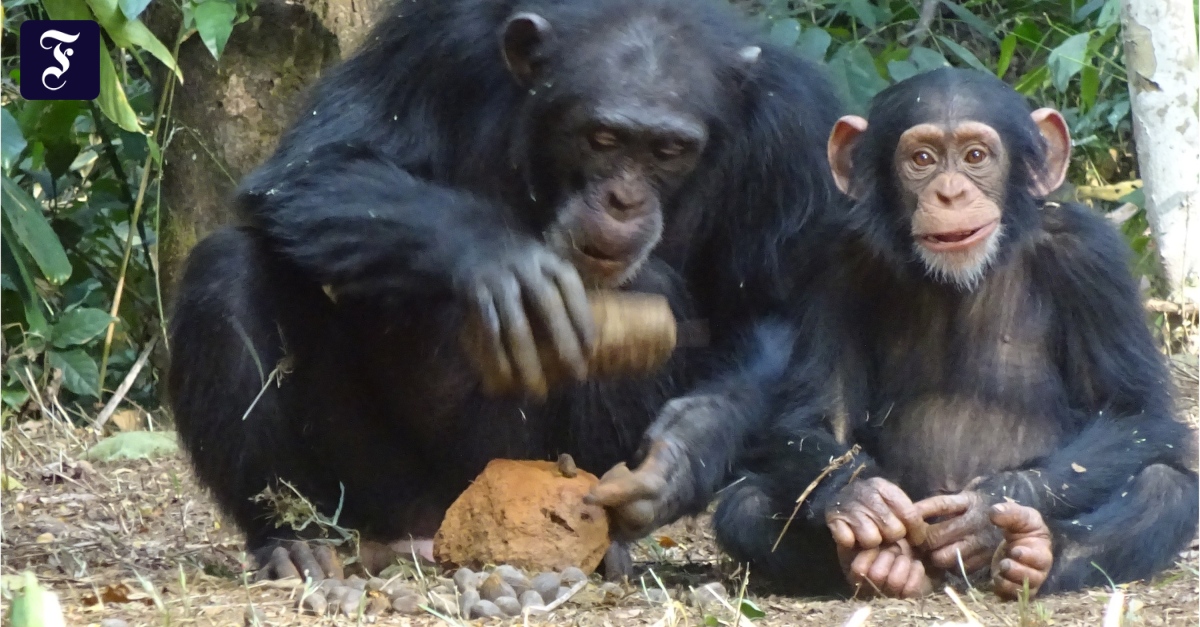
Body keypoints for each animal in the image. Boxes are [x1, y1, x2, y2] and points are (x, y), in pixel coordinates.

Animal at [169, 0, 844, 578]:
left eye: (669, 150)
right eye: (602, 138)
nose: (623, 201)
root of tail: (435, 531)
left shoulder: (791, 128)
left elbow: (771, 308)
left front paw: (681, 455)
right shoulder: (435, 41)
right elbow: (318, 164)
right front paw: (500, 262)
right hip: (374, 489)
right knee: (227, 268)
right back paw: (293, 540)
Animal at [710, 65, 1200, 598]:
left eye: (975, 156)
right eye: (922, 159)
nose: (950, 193)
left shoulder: (1092, 257)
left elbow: (1134, 410)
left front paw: (987, 509)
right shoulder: (833, 260)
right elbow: (818, 414)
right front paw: (861, 495)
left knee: (1165, 487)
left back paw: (1034, 552)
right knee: (745, 503)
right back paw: (879, 565)